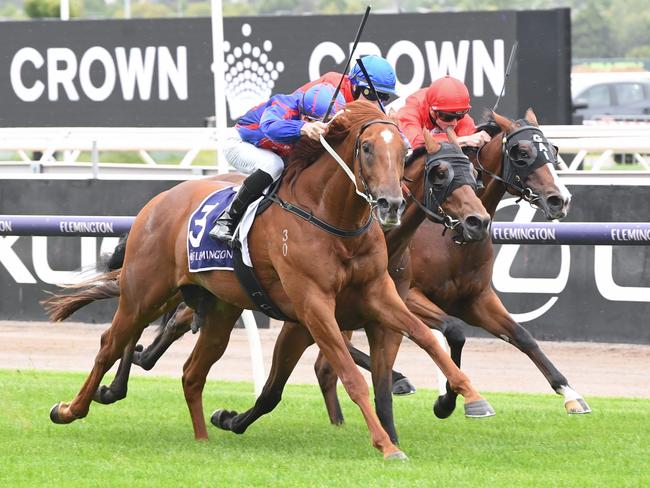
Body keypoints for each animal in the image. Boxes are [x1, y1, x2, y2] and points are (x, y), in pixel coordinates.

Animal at [44, 100, 492, 462]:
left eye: (401, 151)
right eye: (367, 148)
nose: (390, 203)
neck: (332, 218)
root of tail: (156, 203)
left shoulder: (377, 296)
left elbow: (426, 337)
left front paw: (471, 398)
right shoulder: (312, 308)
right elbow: (348, 374)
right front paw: (386, 445)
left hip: (218, 310)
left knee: (192, 371)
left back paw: (203, 439)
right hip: (144, 293)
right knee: (111, 344)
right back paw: (71, 408)